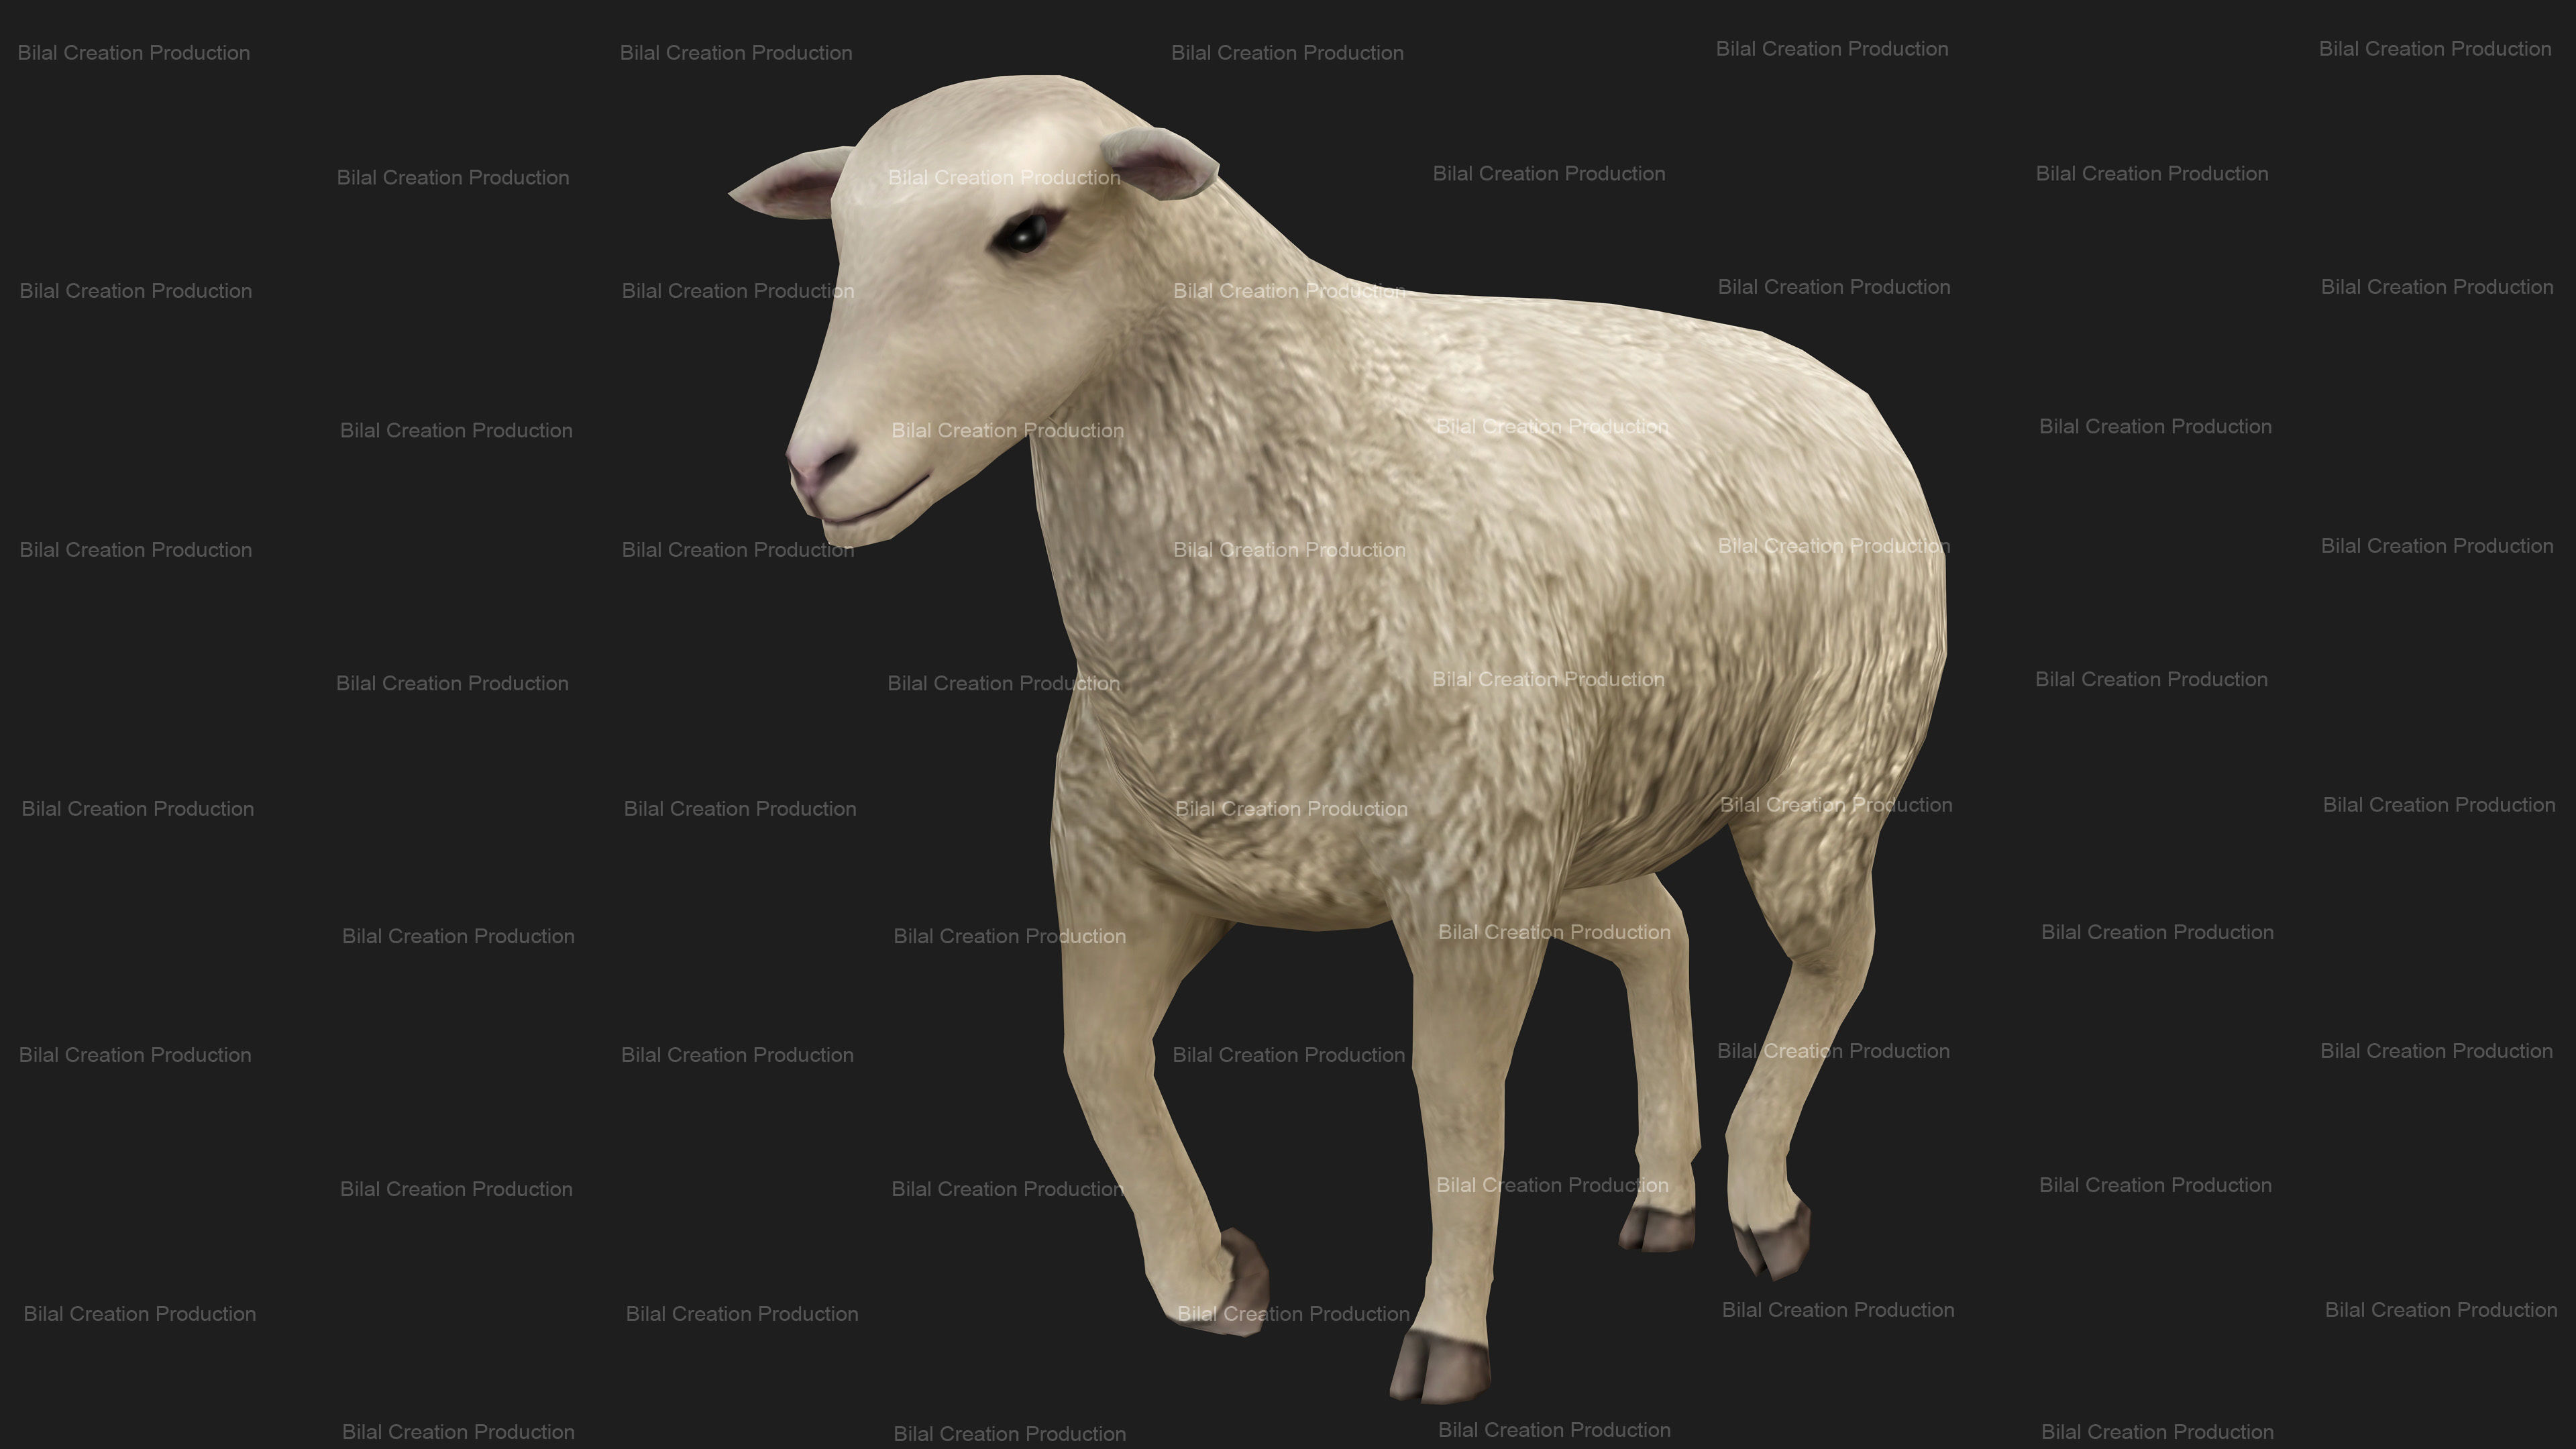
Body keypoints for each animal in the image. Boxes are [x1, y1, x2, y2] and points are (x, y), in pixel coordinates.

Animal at [734, 75, 1947, 1404]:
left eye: (1028, 230)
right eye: (841, 236)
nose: (815, 466)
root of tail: (1848, 392)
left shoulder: (1464, 899)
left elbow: (1456, 1102)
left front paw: (1448, 1336)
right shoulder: (1127, 877)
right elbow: (1095, 1061)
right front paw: (1210, 1280)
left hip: (1817, 773)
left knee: (1840, 957)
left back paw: (1760, 1198)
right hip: (1572, 829)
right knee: (1663, 937)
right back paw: (1666, 1193)